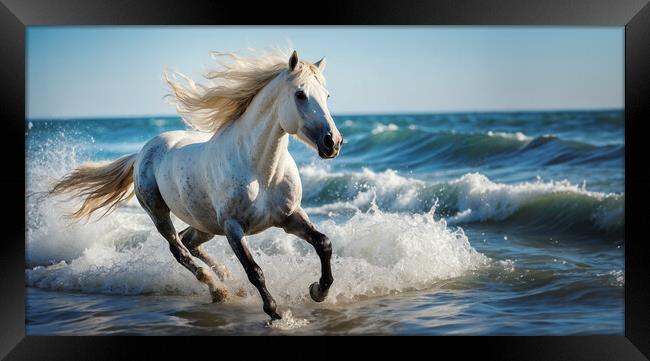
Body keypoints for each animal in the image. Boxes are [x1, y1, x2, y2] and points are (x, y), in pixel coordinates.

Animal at [49, 48, 344, 318]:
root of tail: (142, 152)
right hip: (159, 213)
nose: (333, 142)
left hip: (206, 224)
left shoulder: (290, 217)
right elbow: (255, 271)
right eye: (300, 95)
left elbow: (324, 243)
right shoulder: (234, 227)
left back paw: (225, 280)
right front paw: (275, 313)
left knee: (188, 241)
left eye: (328, 96)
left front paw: (318, 291)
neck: (262, 172)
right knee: (178, 248)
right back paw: (217, 289)